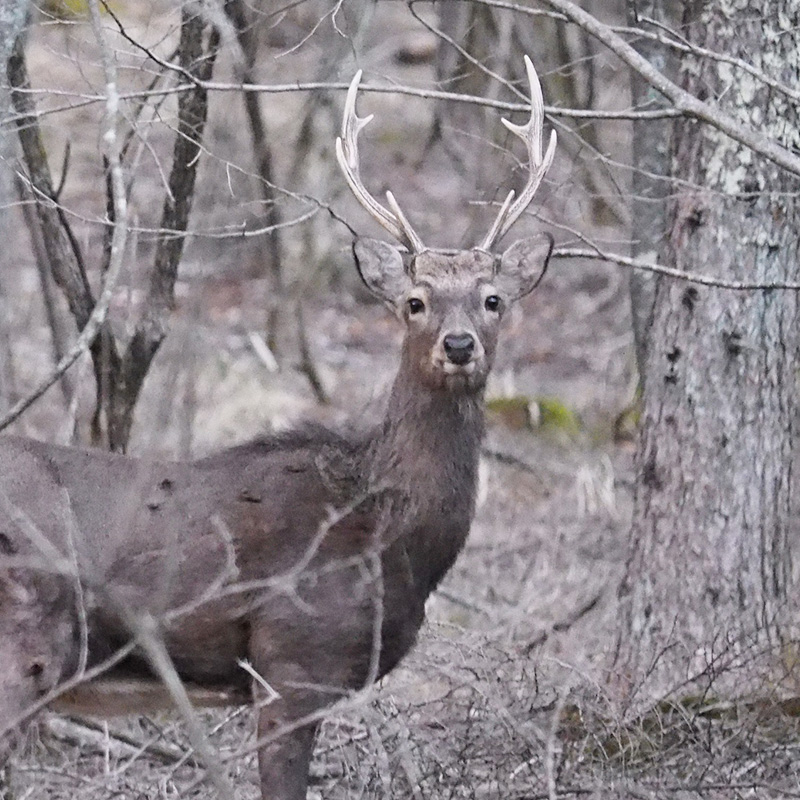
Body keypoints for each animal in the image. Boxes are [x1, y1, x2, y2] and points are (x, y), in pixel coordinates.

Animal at [0, 57, 556, 800]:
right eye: (415, 302)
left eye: (493, 300)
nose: (460, 344)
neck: (387, 532)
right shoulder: (292, 658)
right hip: (25, 634)